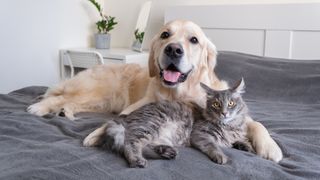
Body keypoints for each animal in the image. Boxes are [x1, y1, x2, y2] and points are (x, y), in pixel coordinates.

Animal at [84, 79, 254, 167]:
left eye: (231, 103)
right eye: (216, 105)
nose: (224, 113)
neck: (228, 126)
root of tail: (124, 118)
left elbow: (243, 141)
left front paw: (247, 147)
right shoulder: (200, 134)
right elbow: (214, 146)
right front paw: (221, 156)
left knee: (143, 146)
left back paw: (166, 152)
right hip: (150, 126)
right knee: (129, 144)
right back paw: (138, 161)